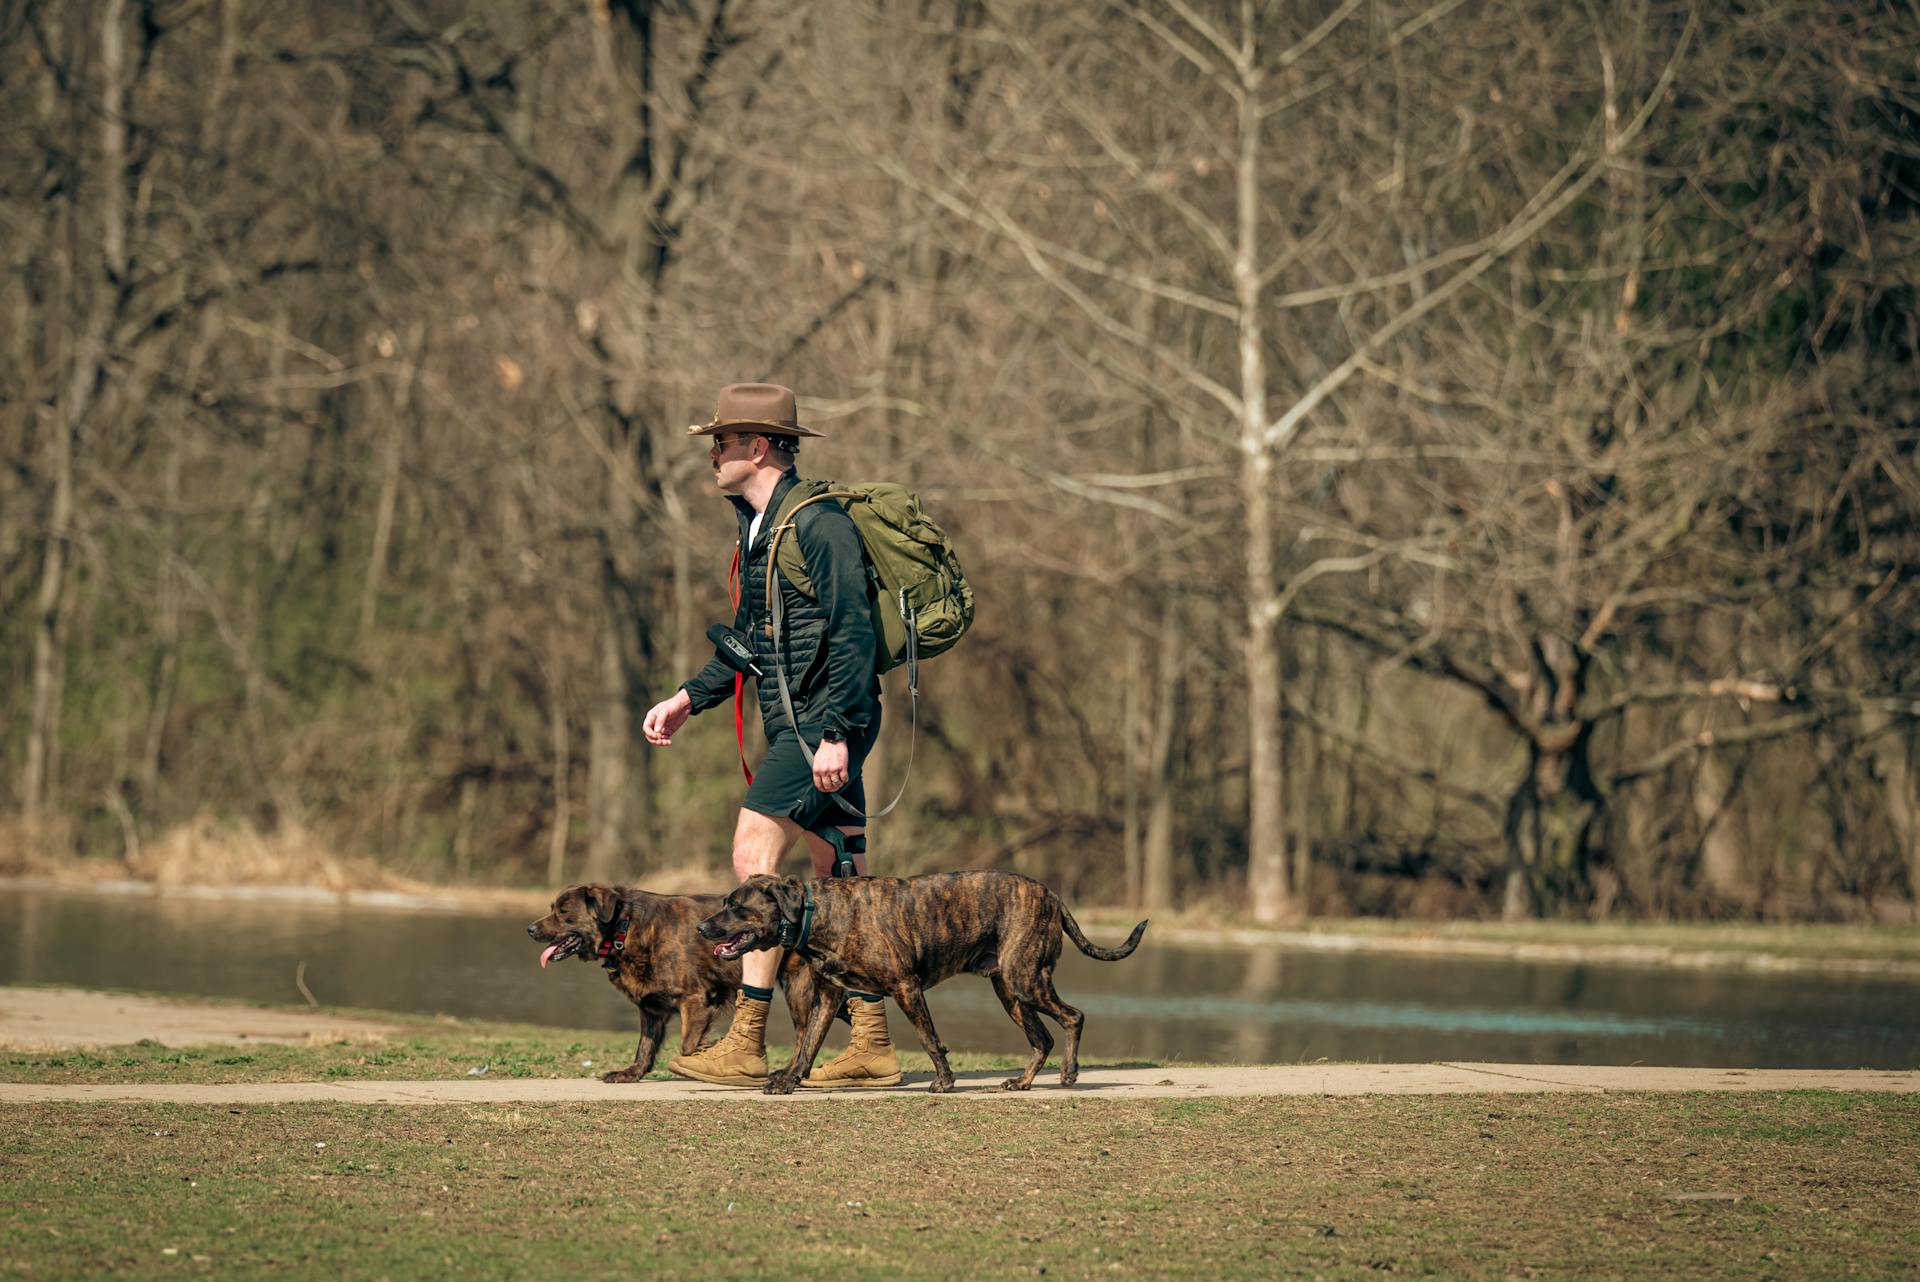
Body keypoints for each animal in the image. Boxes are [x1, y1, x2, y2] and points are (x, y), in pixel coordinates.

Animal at [526, 886, 833, 1090]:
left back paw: (790, 1073)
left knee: (805, 1034)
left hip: (799, 990)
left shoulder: (696, 999)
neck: (625, 927)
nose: (530, 929)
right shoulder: (652, 1009)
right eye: (552, 909)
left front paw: (707, 1053)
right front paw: (631, 1073)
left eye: (563, 913)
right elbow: (645, 1047)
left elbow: (687, 1045)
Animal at [698, 871, 1144, 1090]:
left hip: (1024, 981)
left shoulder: (906, 987)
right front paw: (789, 1080)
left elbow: (929, 1039)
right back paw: (1022, 1082)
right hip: (1010, 991)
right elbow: (806, 1047)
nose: (702, 927)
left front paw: (945, 1082)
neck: (816, 912)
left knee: (1074, 1017)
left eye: (736, 907)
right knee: (1042, 1038)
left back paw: (1069, 1074)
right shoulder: (826, 999)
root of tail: (1053, 896)